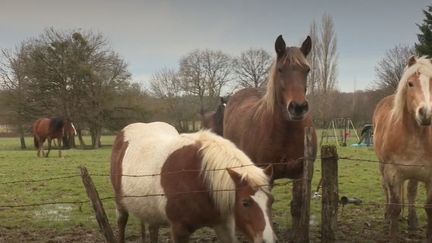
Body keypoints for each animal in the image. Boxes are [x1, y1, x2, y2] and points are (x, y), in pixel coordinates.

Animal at [109, 121, 276, 243]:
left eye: (271, 201)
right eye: (245, 203)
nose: (267, 241)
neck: (201, 179)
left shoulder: (223, 225)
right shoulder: (179, 230)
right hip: (120, 204)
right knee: (122, 222)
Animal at [223, 35, 318, 234]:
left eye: (306, 69)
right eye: (281, 69)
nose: (298, 107)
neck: (286, 133)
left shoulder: (303, 173)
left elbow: (297, 207)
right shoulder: (266, 174)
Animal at [372, 56, 432, 241]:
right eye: (410, 83)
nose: (426, 113)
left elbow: (428, 207)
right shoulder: (393, 172)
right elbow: (396, 207)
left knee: (411, 192)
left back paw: (412, 223)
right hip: (383, 167)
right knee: (386, 190)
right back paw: (387, 215)